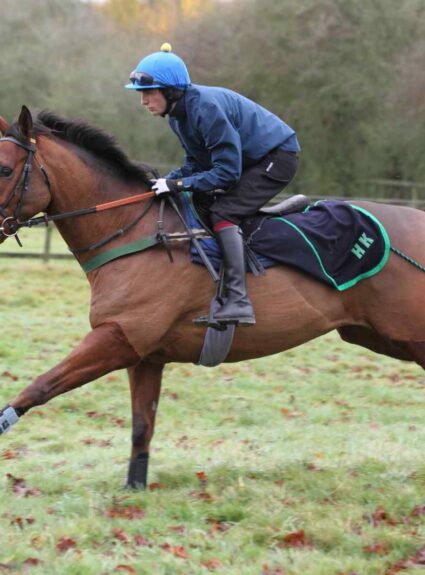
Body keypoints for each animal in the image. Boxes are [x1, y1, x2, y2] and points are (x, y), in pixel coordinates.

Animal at [0, 106, 424, 488]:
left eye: (4, 169)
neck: (135, 234)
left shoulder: (117, 338)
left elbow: (41, 385)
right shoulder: (144, 356)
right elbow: (141, 426)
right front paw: (134, 489)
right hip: (373, 334)